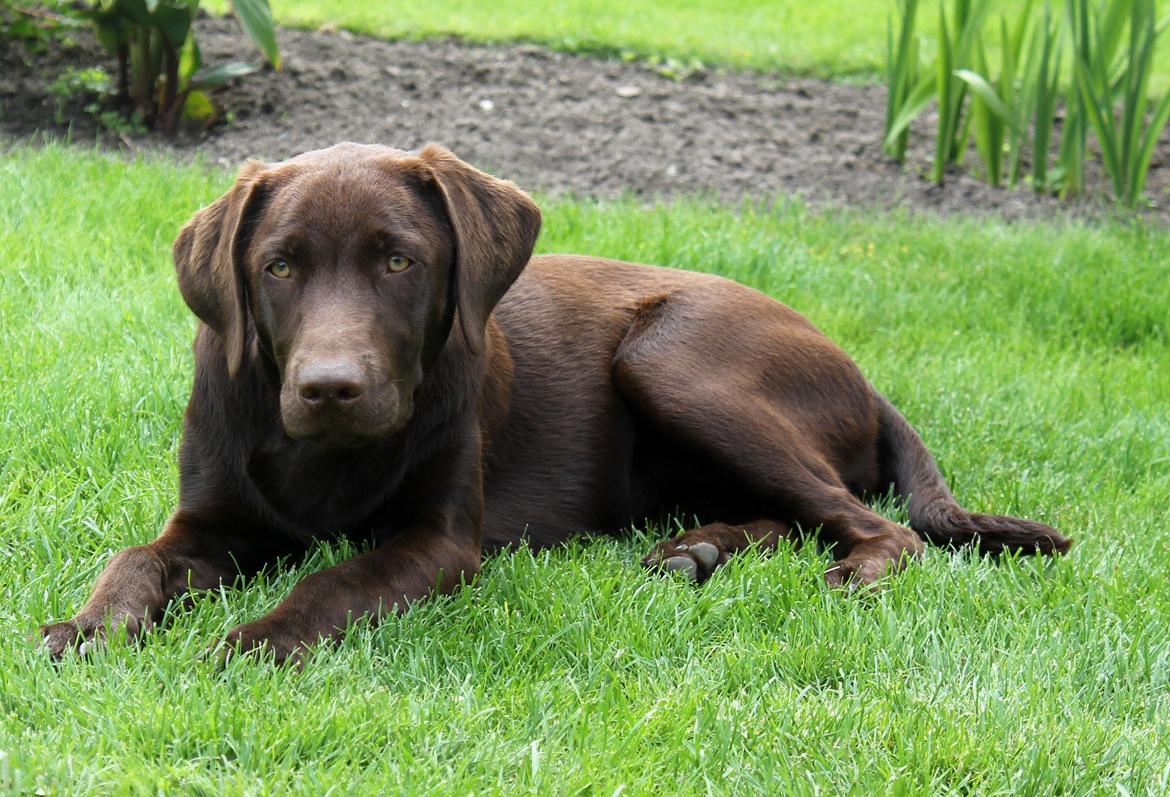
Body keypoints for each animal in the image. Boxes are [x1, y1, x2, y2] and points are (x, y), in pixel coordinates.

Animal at [41, 144, 1071, 664]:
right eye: (278, 266)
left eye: (400, 260)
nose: (330, 388)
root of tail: (859, 369)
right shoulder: (207, 521)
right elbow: (135, 555)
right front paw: (90, 626)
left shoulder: (438, 540)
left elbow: (338, 577)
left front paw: (260, 634)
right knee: (797, 512)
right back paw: (698, 550)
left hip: (673, 359)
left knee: (874, 524)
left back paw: (837, 571)